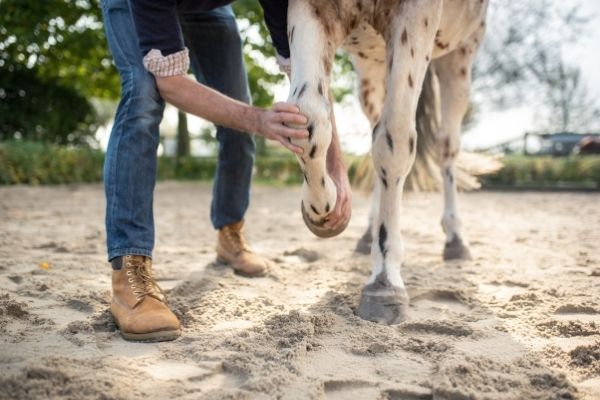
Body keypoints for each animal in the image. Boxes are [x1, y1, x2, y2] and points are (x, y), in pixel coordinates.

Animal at [286, 0, 492, 324]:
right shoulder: (312, 9)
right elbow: (309, 119)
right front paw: (321, 209)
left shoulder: (416, 16)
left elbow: (394, 141)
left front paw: (384, 280)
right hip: (373, 67)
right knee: (371, 130)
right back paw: (367, 232)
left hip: (459, 55)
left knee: (446, 147)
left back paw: (455, 239)